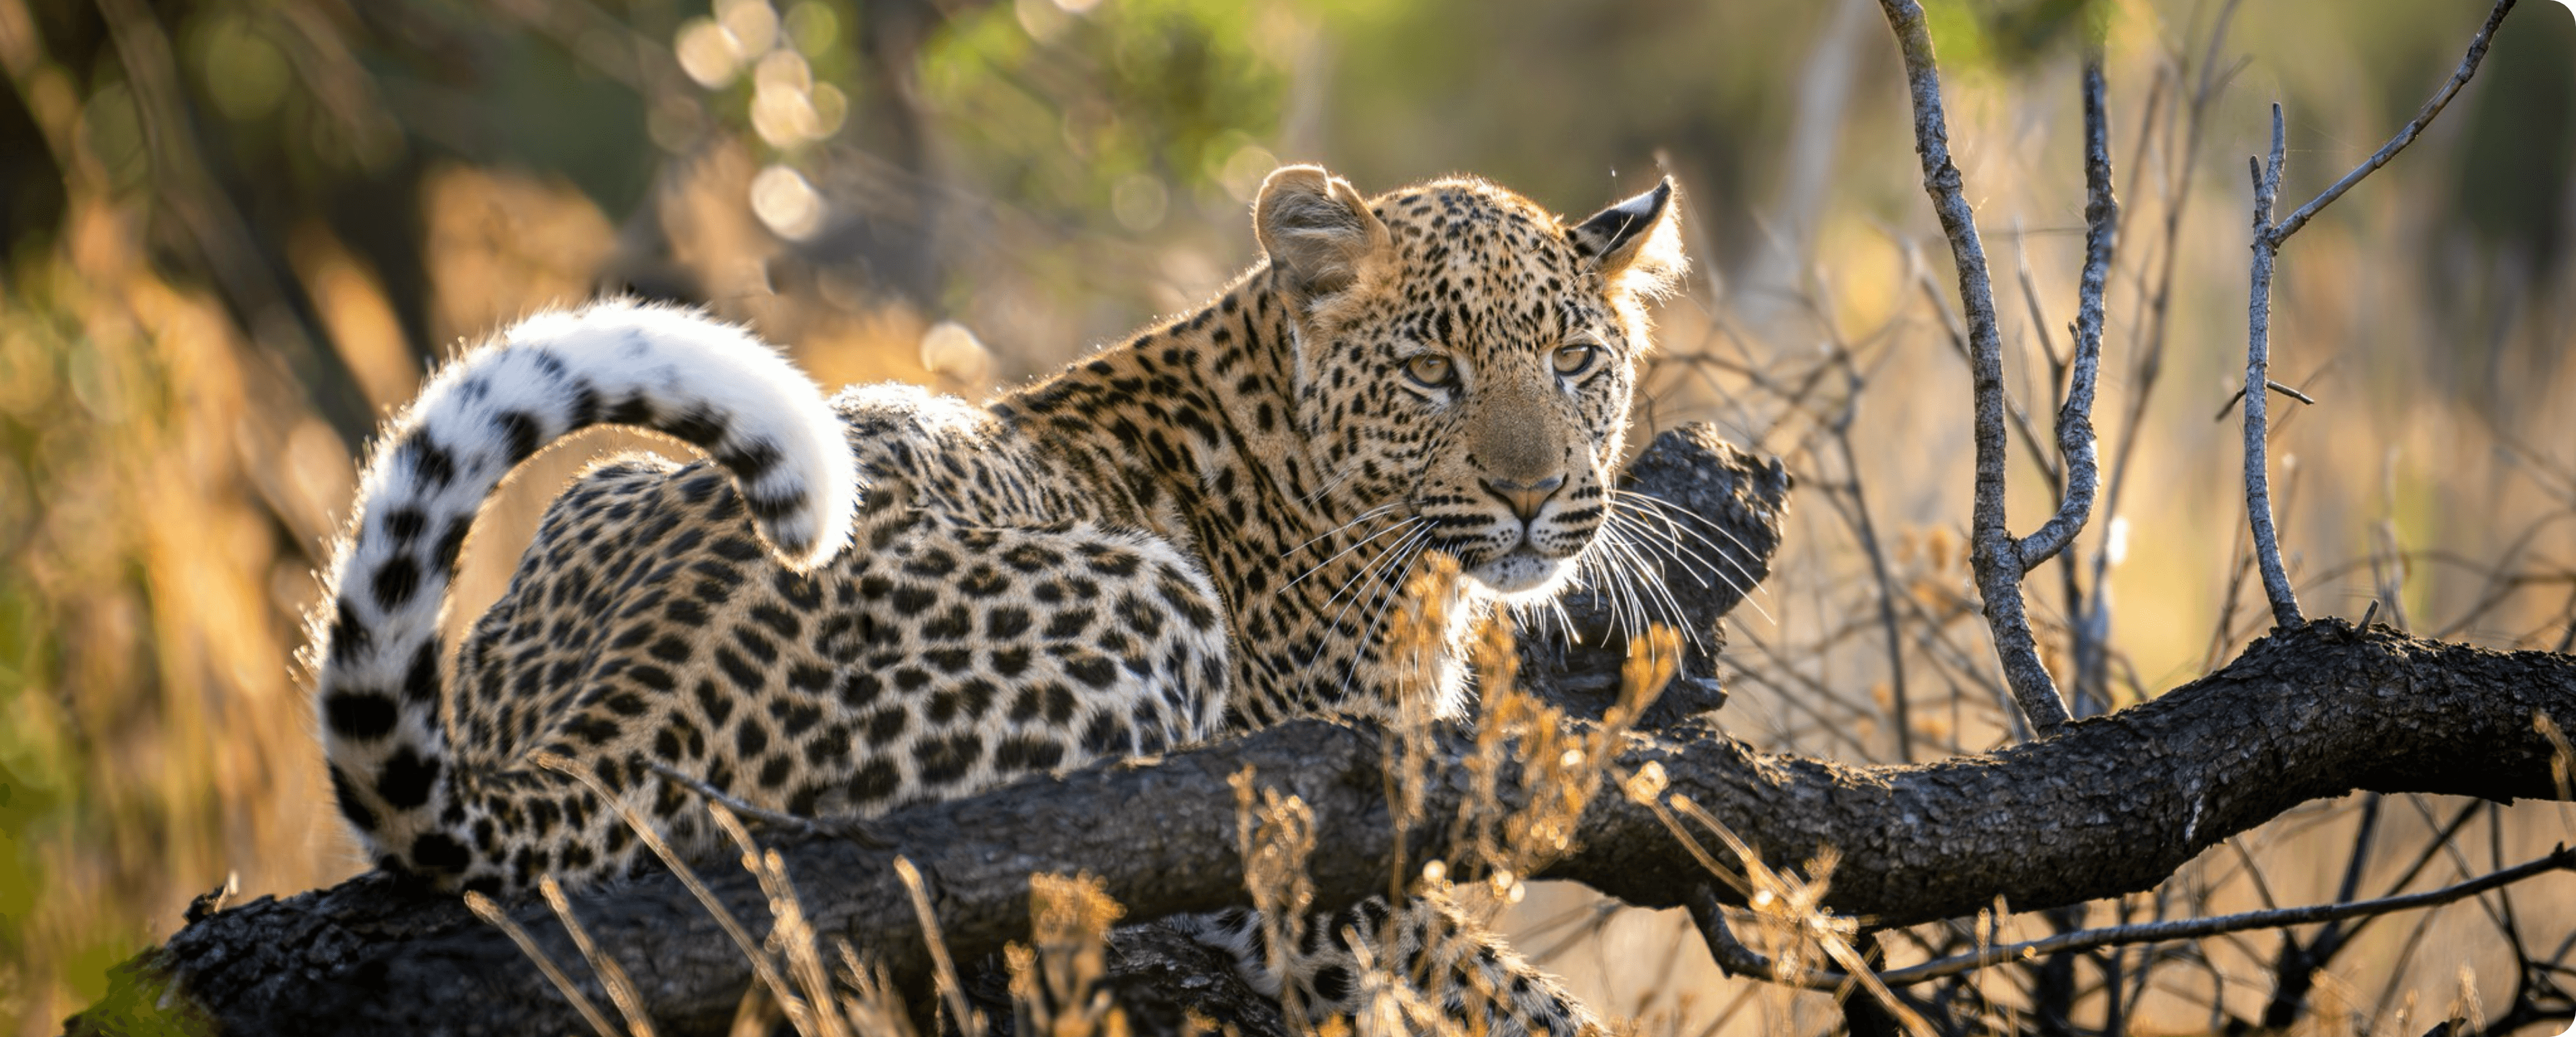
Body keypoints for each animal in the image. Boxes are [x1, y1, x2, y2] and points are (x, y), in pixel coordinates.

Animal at [308, 164, 1685, 1035]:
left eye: (1576, 362)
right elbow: (1502, 992)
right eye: (1431, 372)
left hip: (606, 486)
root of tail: (641, 683)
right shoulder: (1322, 837)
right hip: (1150, 606)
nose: (1534, 495)